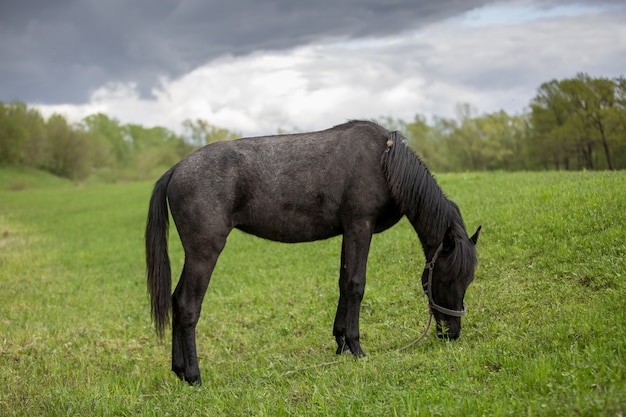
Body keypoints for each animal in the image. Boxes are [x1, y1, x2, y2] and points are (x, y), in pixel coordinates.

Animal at [145, 120, 478, 384]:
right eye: (447, 279)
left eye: (468, 280)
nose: (452, 332)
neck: (383, 161)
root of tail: (175, 170)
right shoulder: (360, 226)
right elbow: (356, 285)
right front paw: (357, 348)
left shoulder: (349, 232)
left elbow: (344, 283)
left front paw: (341, 343)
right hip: (204, 253)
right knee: (187, 305)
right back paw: (194, 376)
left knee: (176, 301)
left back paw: (179, 370)